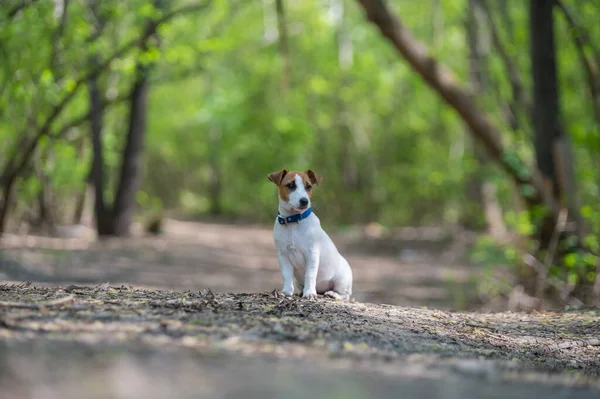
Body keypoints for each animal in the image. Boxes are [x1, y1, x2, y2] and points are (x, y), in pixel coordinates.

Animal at [266, 169, 352, 300]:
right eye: (290, 185)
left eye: (308, 187)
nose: (304, 201)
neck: (293, 222)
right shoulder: (283, 255)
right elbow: (287, 275)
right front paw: (286, 291)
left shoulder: (312, 254)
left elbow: (310, 275)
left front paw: (310, 293)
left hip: (341, 281)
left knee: (345, 295)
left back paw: (333, 294)